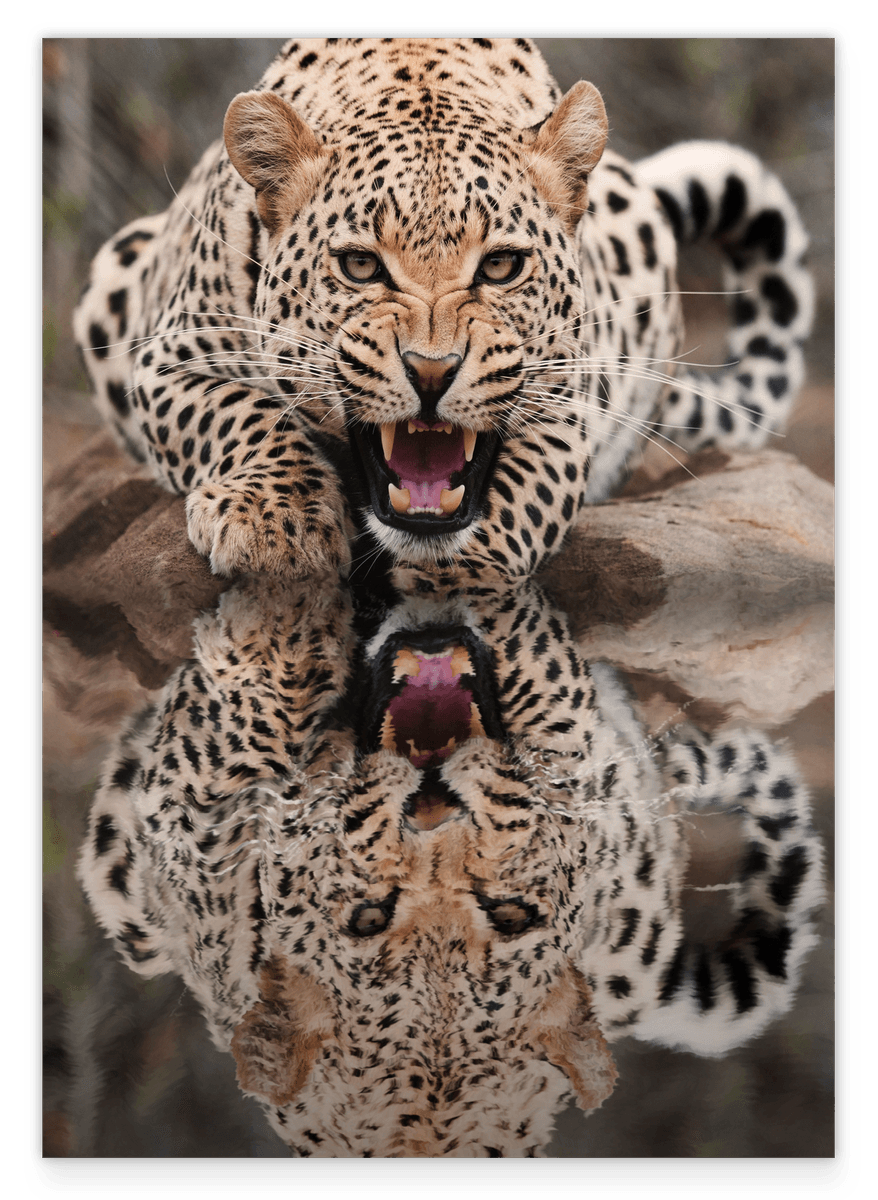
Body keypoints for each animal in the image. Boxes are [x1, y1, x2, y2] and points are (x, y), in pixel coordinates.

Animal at [73, 37, 814, 582]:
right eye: (361, 266)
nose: (431, 372)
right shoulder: (168, 358)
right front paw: (276, 523)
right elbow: (240, 413)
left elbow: (521, 500)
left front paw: (461, 580)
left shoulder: (565, 405)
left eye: (502, 266)